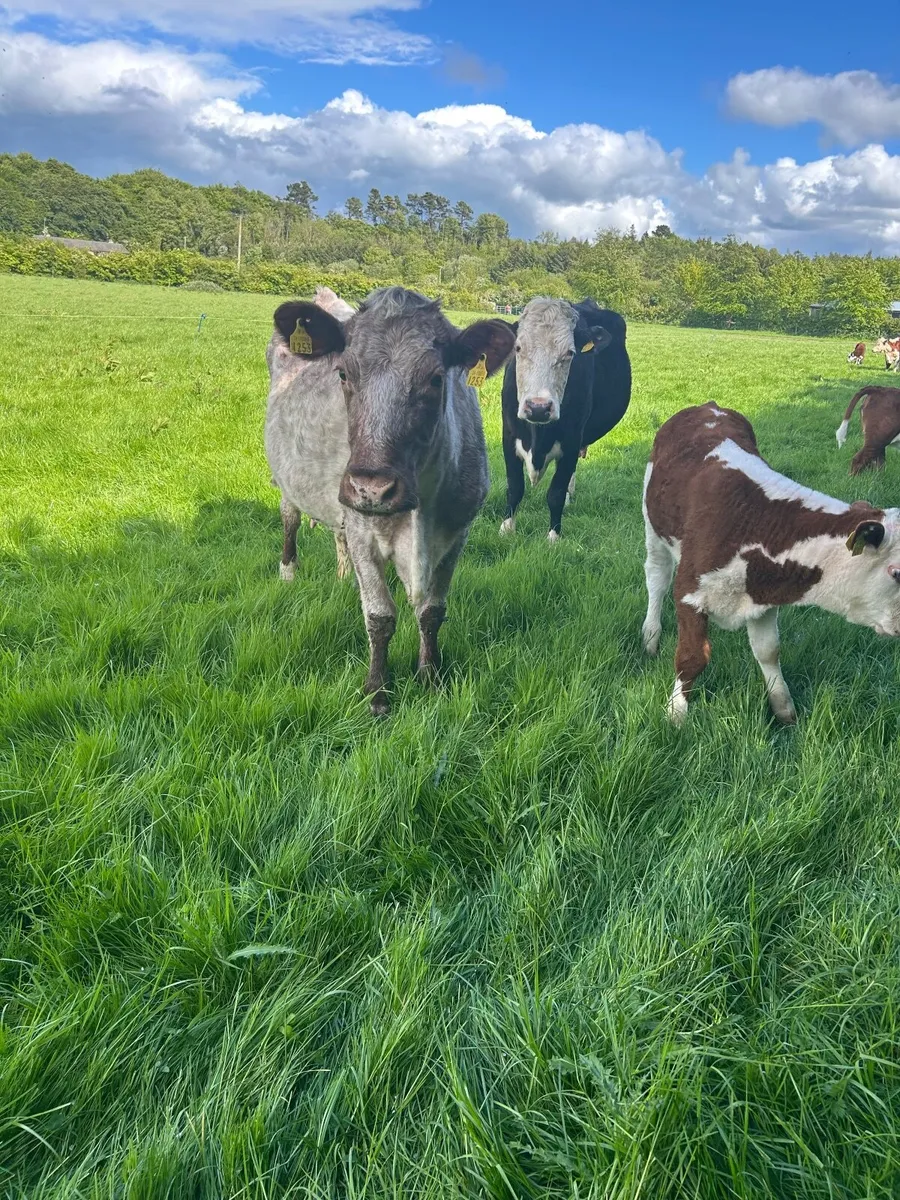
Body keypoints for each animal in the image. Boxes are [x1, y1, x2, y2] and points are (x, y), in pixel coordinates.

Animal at [499, 298, 632, 541]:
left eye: (570, 353)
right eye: (518, 348)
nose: (538, 408)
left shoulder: (571, 442)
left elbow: (556, 493)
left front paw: (553, 536)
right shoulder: (509, 436)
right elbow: (515, 487)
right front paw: (506, 529)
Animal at [642, 402, 900, 725]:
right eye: (897, 572)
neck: (756, 522)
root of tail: (708, 406)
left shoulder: (763, 596)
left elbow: (768, 651)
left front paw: (783, 708)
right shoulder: (689, 593)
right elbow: (692, 656)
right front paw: (676, 713)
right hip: (652, 527)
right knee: (657, 578)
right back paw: (650, 635)